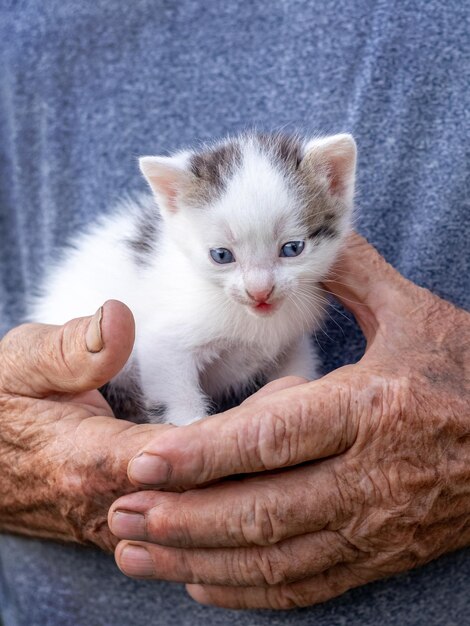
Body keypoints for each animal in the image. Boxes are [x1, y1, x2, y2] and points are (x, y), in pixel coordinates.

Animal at [31, 131, 356, 424]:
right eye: (221, 255)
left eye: (292, 248)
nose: (260, 292)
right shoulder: (162, 341)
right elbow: (174, 388)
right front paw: (187, 422)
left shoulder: (290, 338)